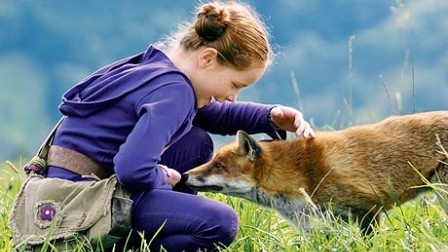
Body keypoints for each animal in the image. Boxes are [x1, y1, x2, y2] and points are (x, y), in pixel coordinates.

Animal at [183, 110, 448, 234]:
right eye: (213, 160)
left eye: (219, 165)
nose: (184, 175)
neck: (301, 173)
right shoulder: (317, 226)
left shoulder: (367, 209)